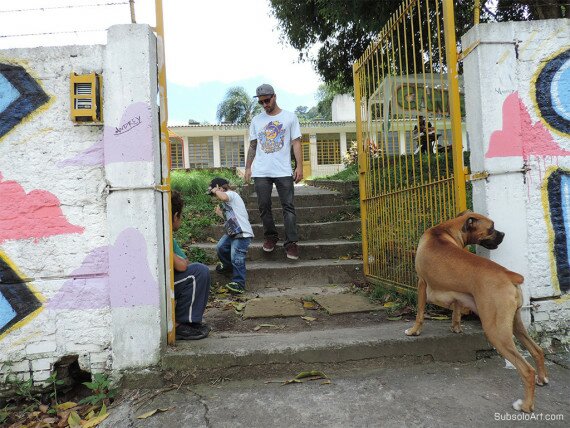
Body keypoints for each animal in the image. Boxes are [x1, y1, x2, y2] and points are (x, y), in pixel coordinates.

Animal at [404, 212, 544, 412]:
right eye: (491, 228)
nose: (503, 234)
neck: (443, 230)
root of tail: (509, 274)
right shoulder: (457, 293)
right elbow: (456, 310)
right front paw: (455, 327)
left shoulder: (421, 283)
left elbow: (420, 313)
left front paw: (414, 331)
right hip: (515, 325)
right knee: (537, 350)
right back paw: (542, 378)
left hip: (496, 332)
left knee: (526, 370)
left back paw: (525, 405)